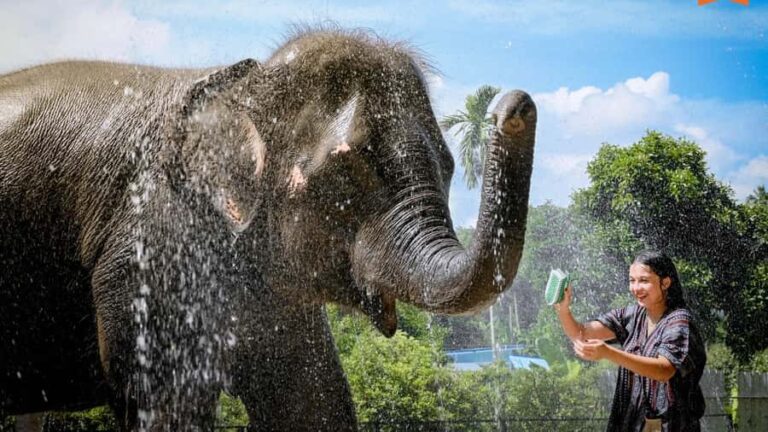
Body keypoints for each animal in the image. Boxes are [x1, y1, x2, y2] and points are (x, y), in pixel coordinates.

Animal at [0, 28, 537, 431]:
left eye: (448, 168)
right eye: (346, 173)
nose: (514, 106)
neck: (246, 85)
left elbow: (310, 399)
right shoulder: (151, 252)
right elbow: (165, 401)